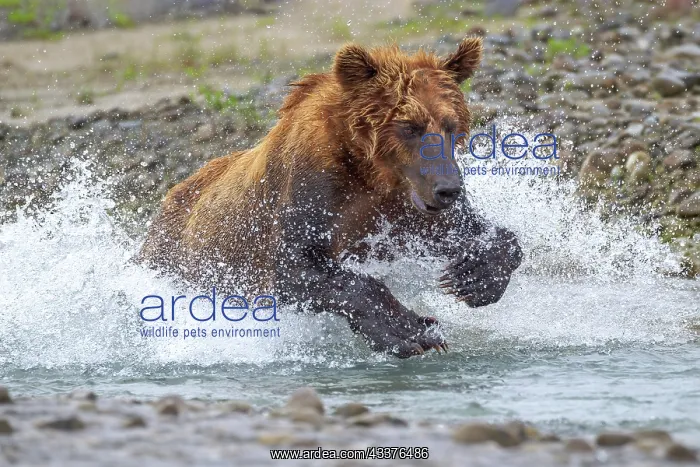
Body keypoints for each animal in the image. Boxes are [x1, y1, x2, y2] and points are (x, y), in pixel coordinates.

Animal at [138, 37, 523, 358]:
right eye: (409, 126)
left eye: (450, 124)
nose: (449, 188)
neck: (367, 170)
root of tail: (166, 201)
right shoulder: (311, 190)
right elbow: (297, 268)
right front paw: (411, 332)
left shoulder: (402, 209)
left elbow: (482, 234)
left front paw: (472, 276)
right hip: (178, 257)